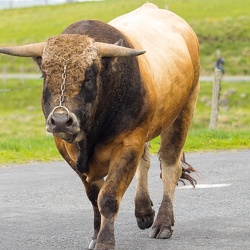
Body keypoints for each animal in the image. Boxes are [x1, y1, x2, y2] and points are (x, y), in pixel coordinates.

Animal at [0, 2, 199, 249]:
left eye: (88, 76)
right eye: (45, 76)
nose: (60, 120)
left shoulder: (128, 144)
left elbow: (109, 196)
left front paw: (105, 241)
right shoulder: (67, 150)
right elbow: (94, 195)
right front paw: (96, 235)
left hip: (183, 112)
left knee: (171, 166)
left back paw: (163, 223)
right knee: (145, 161)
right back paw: (143, 212)